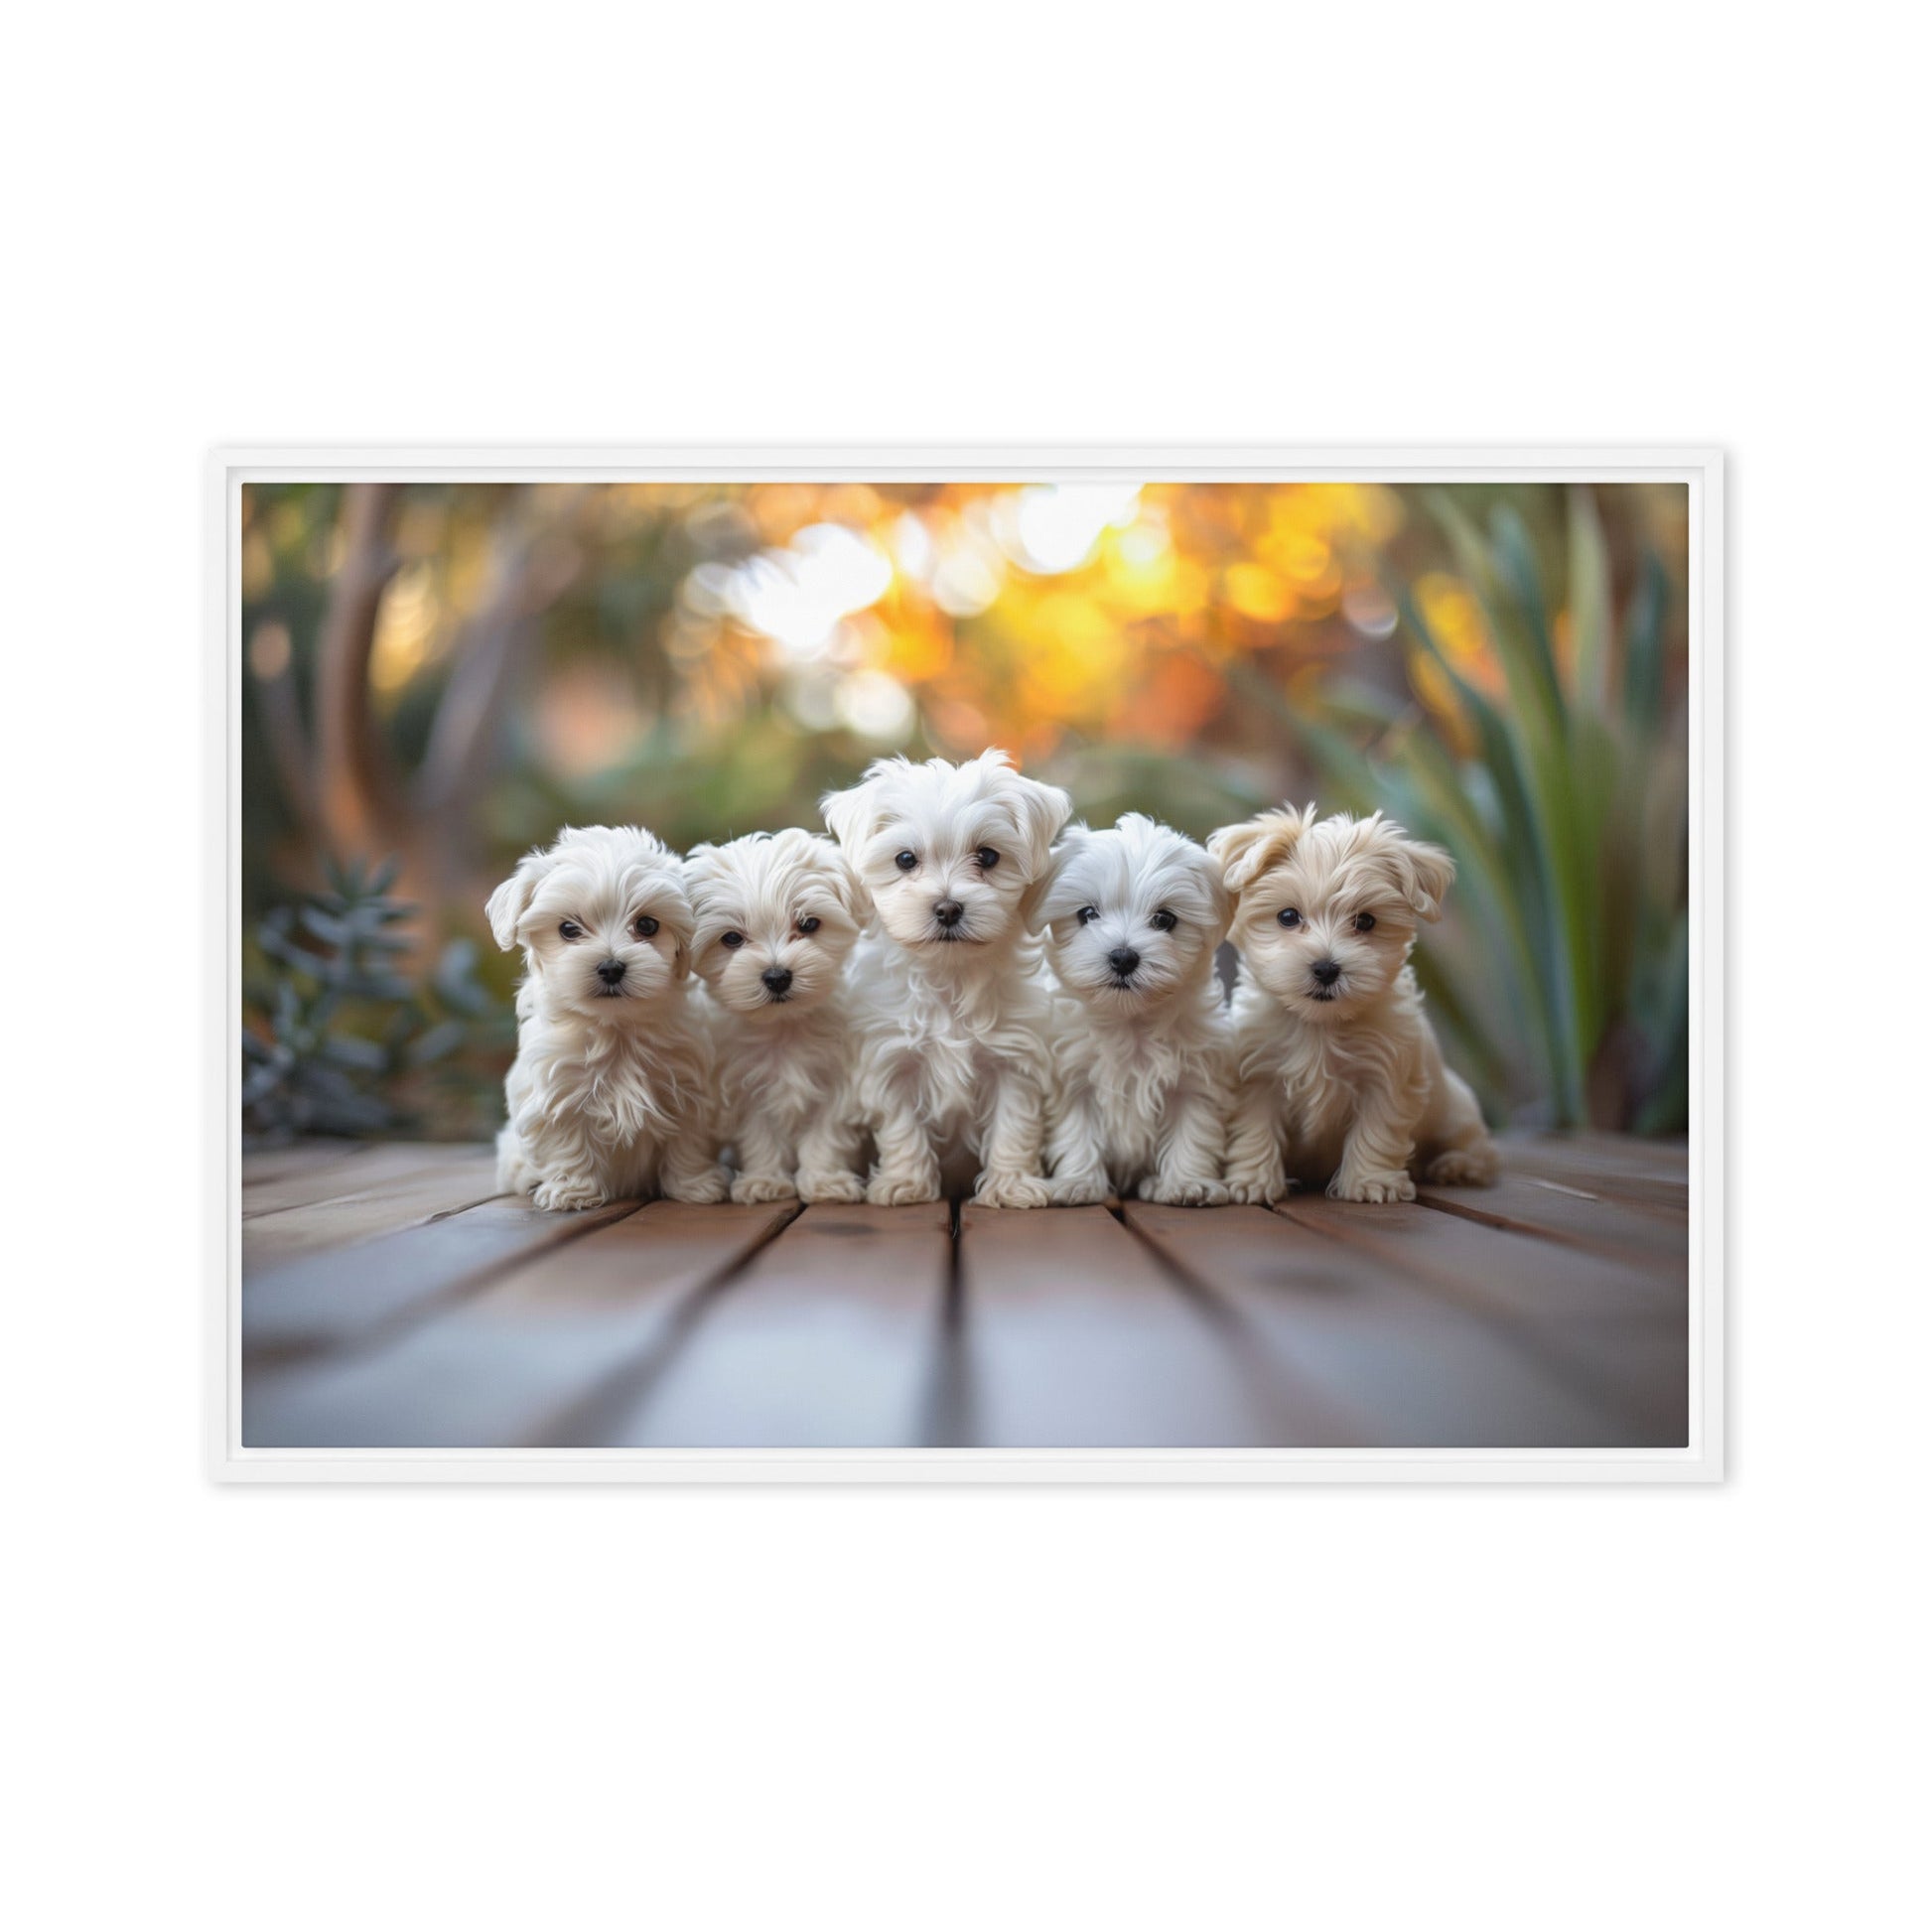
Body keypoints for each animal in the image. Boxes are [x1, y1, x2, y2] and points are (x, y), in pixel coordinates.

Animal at [483, 822, 726, 1213]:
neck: (616, 1027)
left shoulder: (689, 1090)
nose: (611, 967)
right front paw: (572, 1191)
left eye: (647, 925)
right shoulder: (557, 1093)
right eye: (568, 929)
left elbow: (687, 1142)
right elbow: (567, 1142)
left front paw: (695, 1185)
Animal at [687, 830, 869, 1205]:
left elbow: (825, 1136)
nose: (777, 976)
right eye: (731, 938)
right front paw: (765, 1180)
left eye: (809, 923)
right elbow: (761, 1137)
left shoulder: (836, 1085)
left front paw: (824, 1181)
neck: (785, 1025)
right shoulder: (746, 1088)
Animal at [822, 742, 1081, 1205]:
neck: (950, 975)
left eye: (988, 856)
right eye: (906, 859)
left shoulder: (1014, 1061)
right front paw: (906, 1183)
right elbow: (902, 1127)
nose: (947, 908)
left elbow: (1014, 1125)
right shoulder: (893, 1061)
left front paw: (1011, 1186)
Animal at [1035, 815, 1228, 1205]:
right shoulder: (1073, 1078)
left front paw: (1187, 1182)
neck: (1131, 1021)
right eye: (1087, 914)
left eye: (1165, 919)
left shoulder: (1195, 1080)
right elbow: (1076, 1130)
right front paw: (1078, 1182)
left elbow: (1193, 1129)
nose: (1123, 957)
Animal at [1213, 803, 1499, 1197]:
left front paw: (1370, 1181)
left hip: (1454, 1111)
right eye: (1287, 916)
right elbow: (1254, 1129)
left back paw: (1456, 1165)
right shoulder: (1257, 1075)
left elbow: (1377, 1130)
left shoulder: (1387, 1076)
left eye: (1365, 921)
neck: (1320, 1025)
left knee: (1477, 1147)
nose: (1326, 968)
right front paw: (1251, 1181)